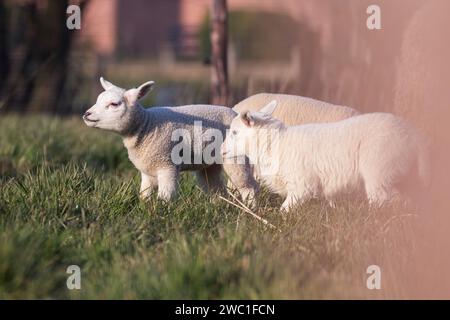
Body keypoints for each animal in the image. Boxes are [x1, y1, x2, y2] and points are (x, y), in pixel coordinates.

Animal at [83, 78, 258, 202]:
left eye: (114, 104)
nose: (86, 114)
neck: (146, 126)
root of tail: (236, 114)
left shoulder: (167, 165)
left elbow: (166, 197)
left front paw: (162, 213)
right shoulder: (147, 171)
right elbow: (144, 195)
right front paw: (145, 208)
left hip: (236, 158)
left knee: (249, 188)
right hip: (210, 164)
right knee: (217, 189)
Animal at [221, 100, 428, 210]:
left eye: (235, 132)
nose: (222, 150)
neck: (276, 145)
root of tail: (415, 137)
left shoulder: (302, 185)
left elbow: (285, 209)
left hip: (379, 170)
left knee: (389, 201)